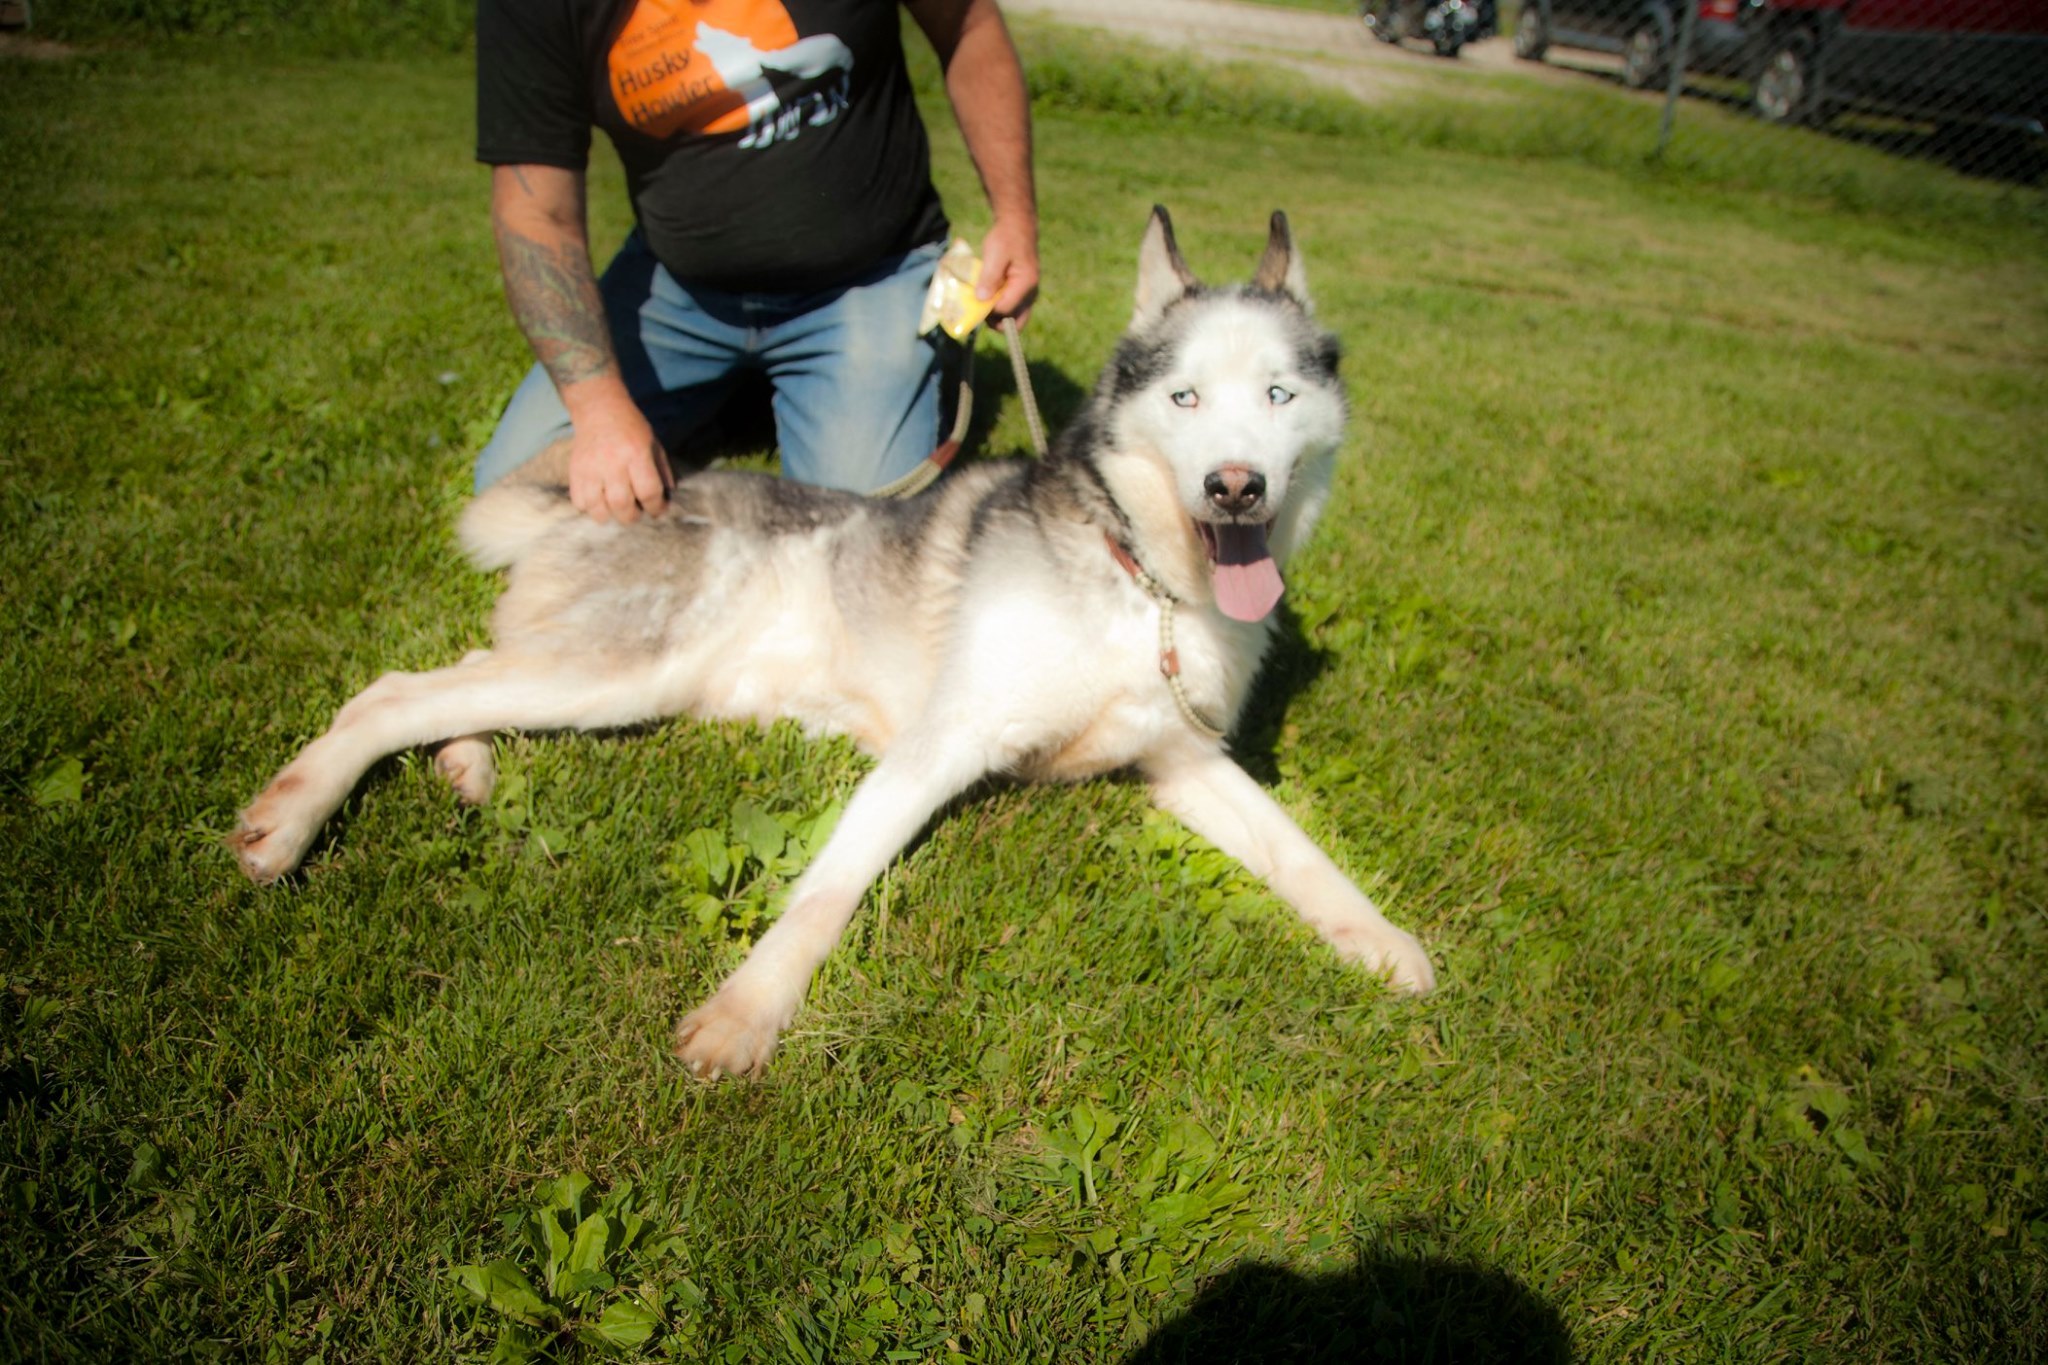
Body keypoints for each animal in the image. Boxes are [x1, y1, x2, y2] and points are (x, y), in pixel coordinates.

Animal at [235, 205, 1441, 1080]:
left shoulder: (1179, 757)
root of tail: (624, 494)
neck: (1140, 584)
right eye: (1185, 399)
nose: (1234, 487)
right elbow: (824, 894)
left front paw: (1385, 943)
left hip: (603, 681)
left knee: (456, 683)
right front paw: (746, 1013)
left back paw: (461, 764)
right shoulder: (941, 745)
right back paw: (288, 823)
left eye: (1276, 394)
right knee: (392, 689)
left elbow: (1299, 849)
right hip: (621, 671)